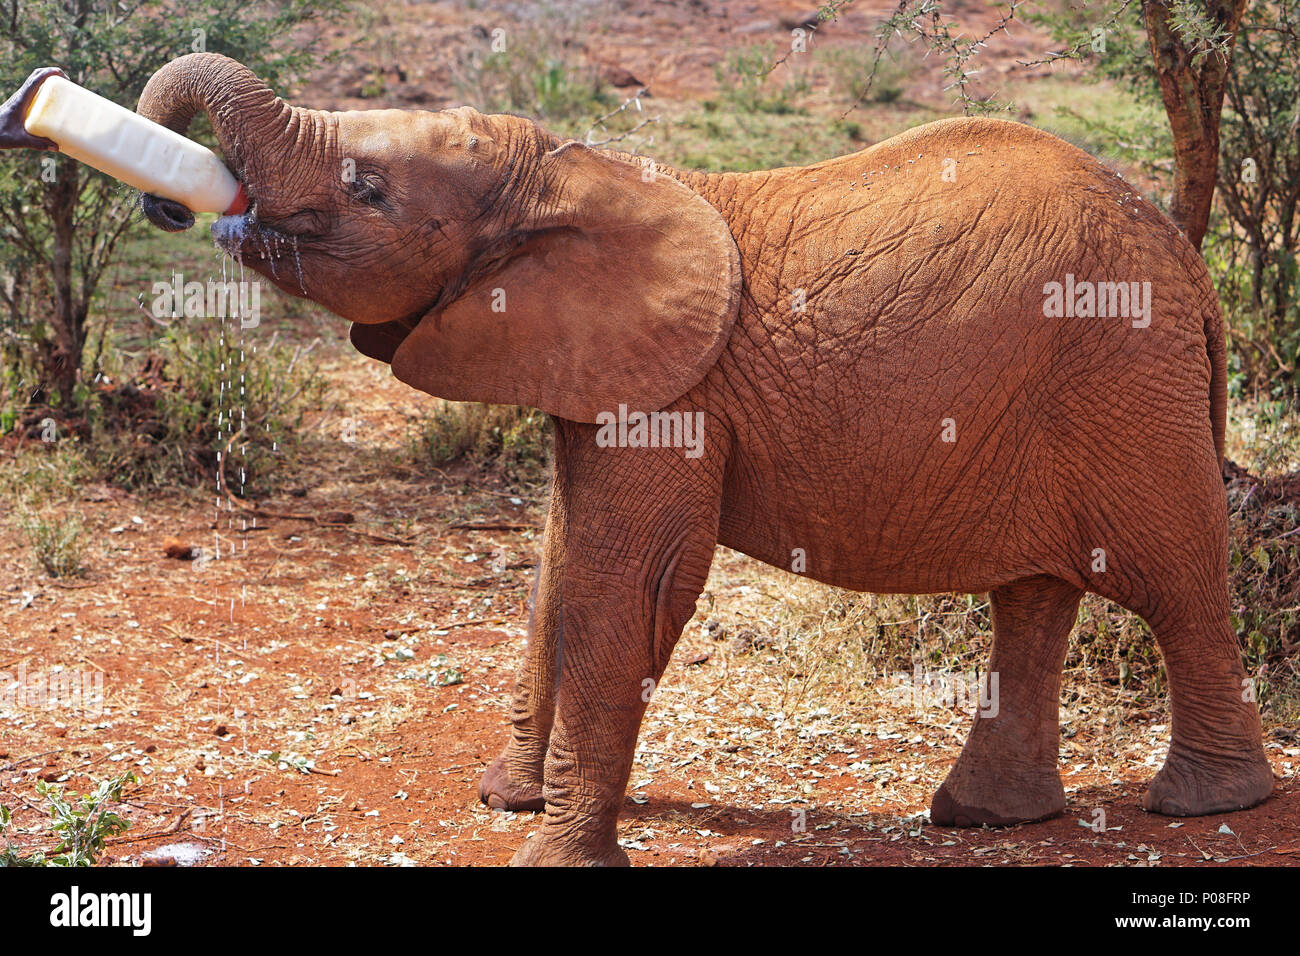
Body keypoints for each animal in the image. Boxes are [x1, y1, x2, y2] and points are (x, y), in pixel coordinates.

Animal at [3, 52, 1274, 865]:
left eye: (367, 188)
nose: (29, 107)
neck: (573, 170)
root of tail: (1189, 263)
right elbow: (560, 568)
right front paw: (508, 799)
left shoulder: (675, 394)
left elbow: (629, 581)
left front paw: (558, 849)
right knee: (1037, 595)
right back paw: (982, 817)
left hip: (1124, 382)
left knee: (1171, 572)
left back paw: (1205, 806)